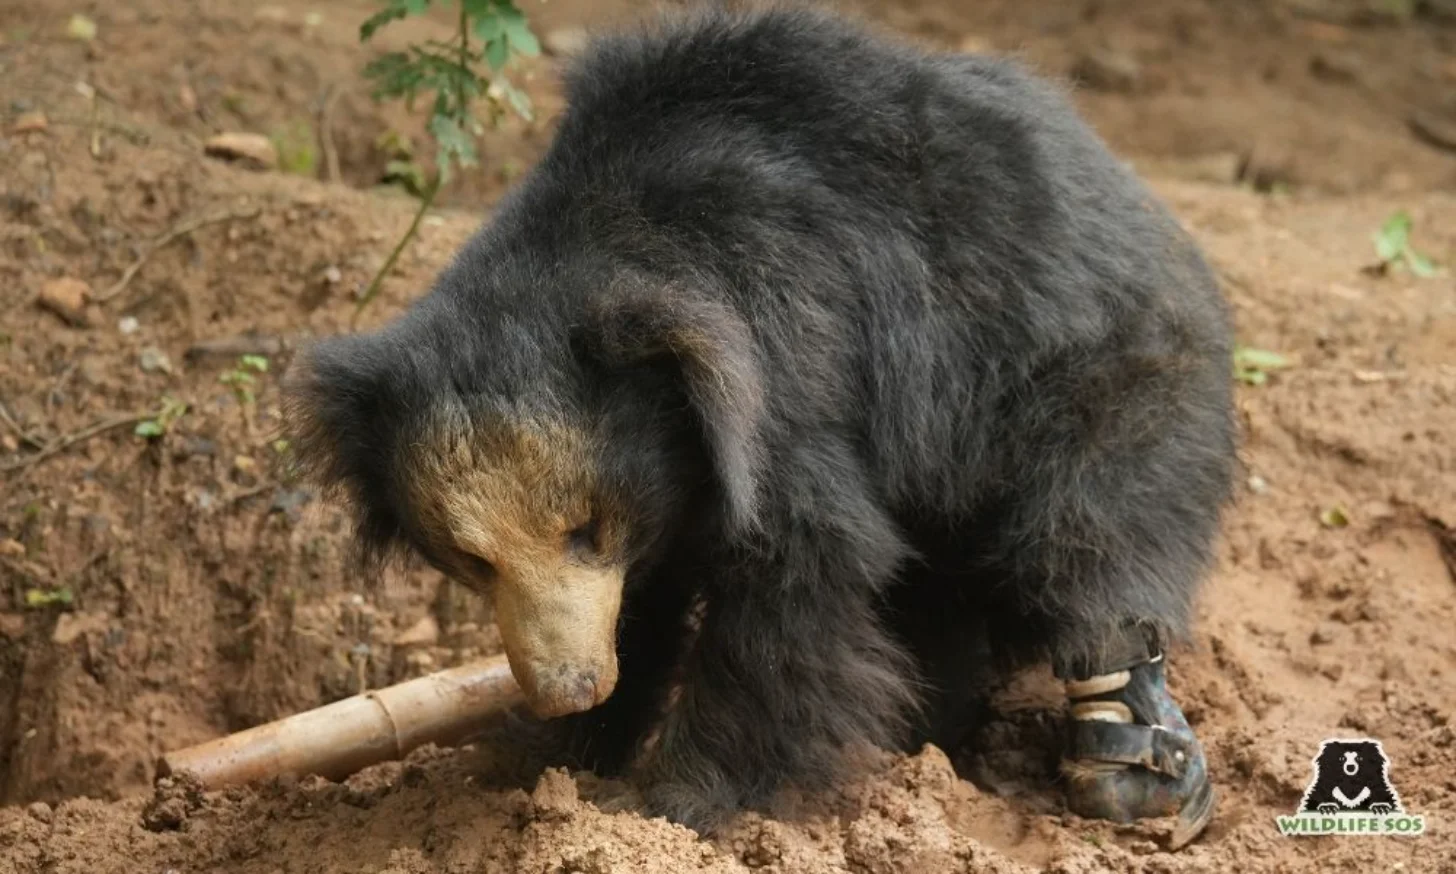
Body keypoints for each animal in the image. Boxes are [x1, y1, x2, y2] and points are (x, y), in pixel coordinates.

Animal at [284, 5, 1235, 848]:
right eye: (472, 560)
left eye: (586, 530)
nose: (569, 686)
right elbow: (645, 604)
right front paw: (540, 760)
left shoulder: (785, 360)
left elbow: (800, 564)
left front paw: (670, 801)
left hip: (1088, 375)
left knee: (1089, 537)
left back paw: (1127, 760)